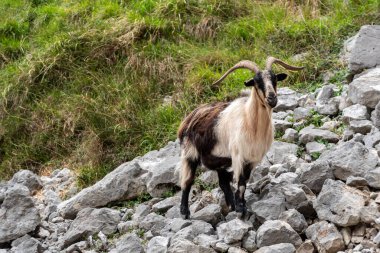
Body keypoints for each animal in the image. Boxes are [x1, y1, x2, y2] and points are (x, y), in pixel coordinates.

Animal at [177, 56, 304, 218]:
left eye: (275, 78)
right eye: (256, 82)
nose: (272, 98)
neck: (249, 121)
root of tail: (188, 118)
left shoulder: (252, 159)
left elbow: (244, 183)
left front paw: (241, 205)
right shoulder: (238, 156)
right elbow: (241, 183)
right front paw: (240, 209)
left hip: (218, 160)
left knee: (223, 182)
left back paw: (230, 205)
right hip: (189, 153)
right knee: (187, 181)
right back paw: (184, 212)